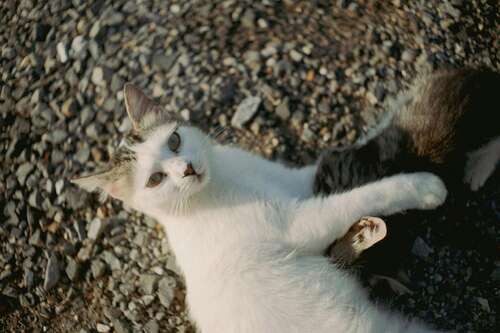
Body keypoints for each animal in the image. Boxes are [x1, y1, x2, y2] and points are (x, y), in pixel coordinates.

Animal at [73, 84, 446, 330]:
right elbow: (360, 197)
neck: (222, 178)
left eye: (174, 140)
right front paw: (424, 186)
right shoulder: (299, 223)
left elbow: (322, 172)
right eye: (155, 180)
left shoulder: (294, 184)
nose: (187, 169)